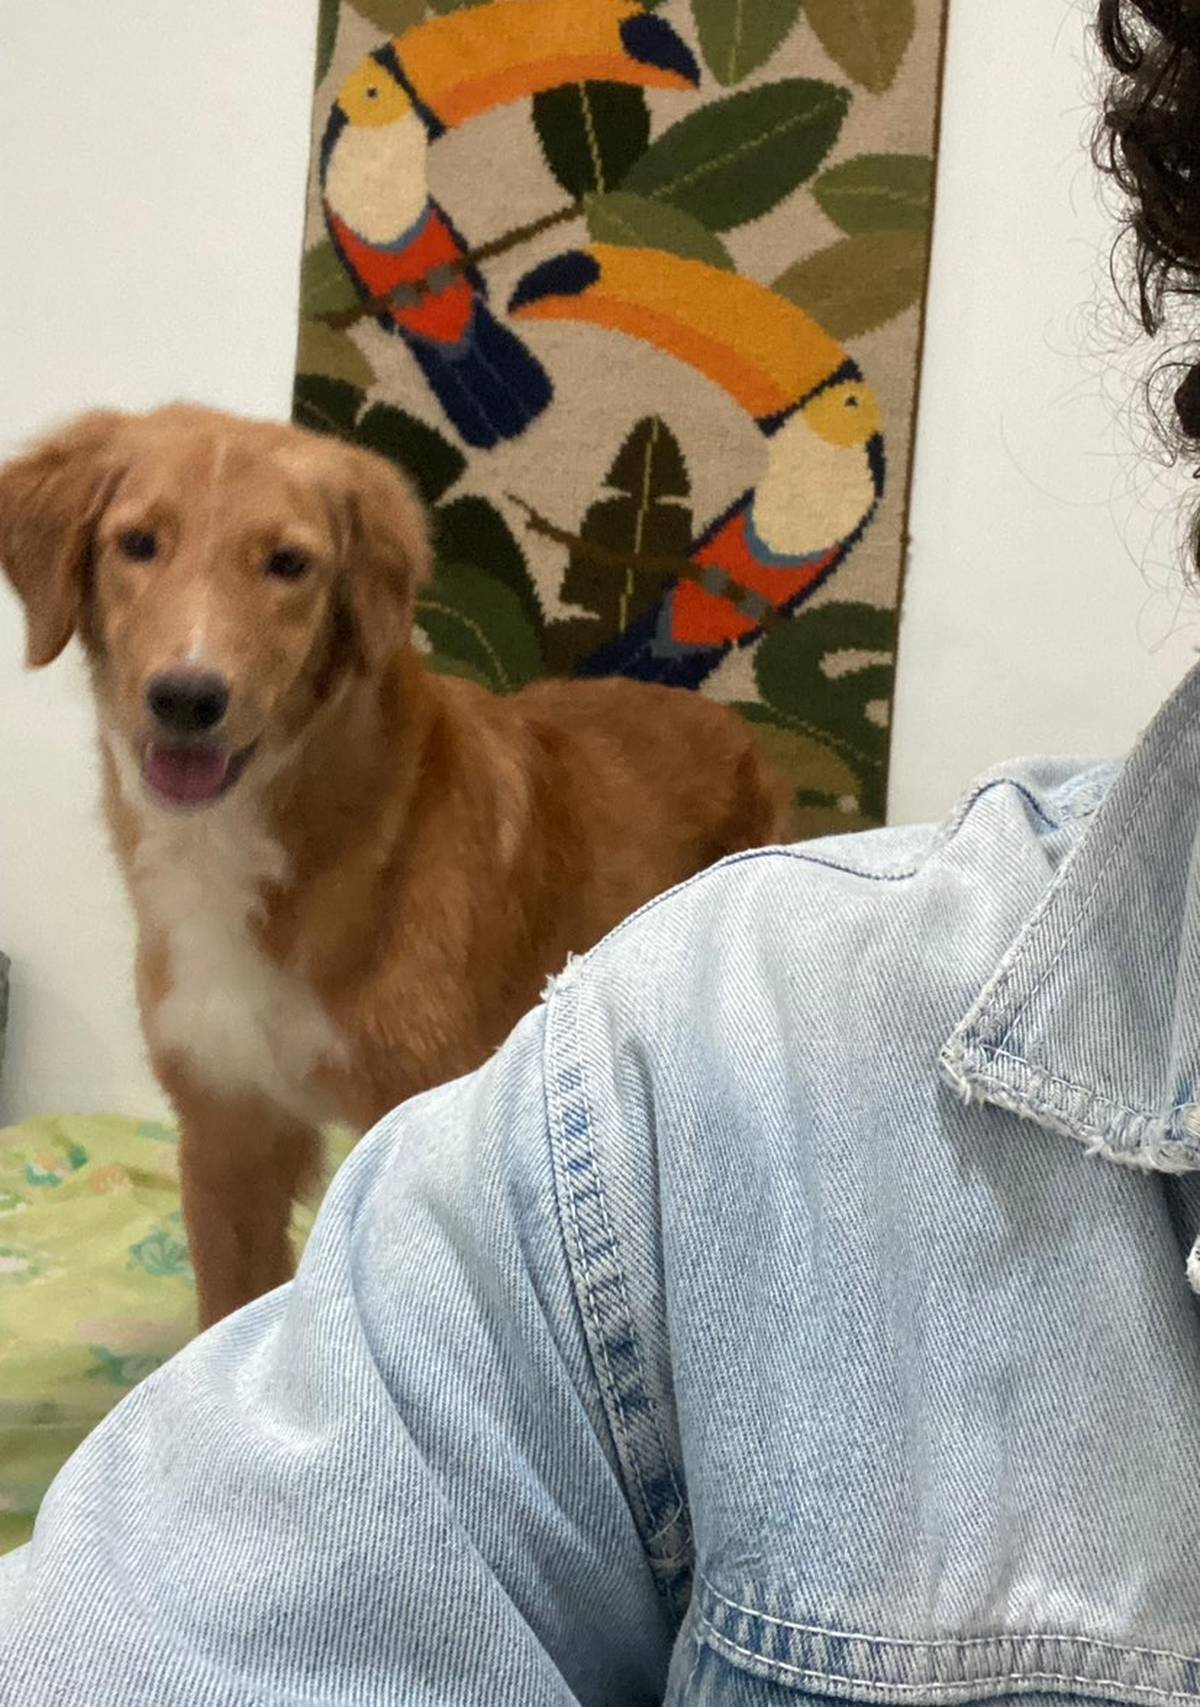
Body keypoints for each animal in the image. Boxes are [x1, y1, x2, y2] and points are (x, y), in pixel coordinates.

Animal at [0, 405, 792, 1326]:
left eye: (288, 564)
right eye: (138, 543)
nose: (187, 698)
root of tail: (739, 728)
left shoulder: (426, 1117)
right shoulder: (228, 1134)